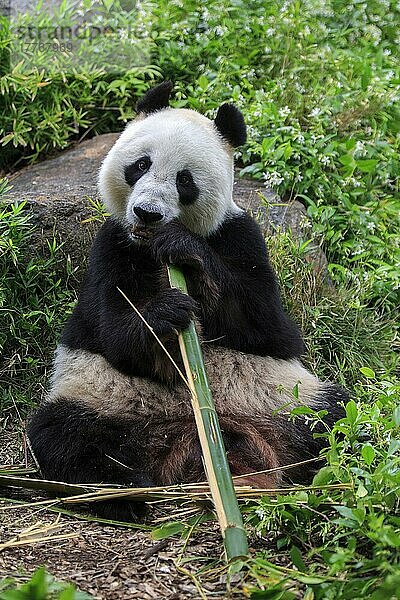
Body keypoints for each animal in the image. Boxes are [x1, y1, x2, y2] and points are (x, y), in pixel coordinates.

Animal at [28, 82, 346, 516]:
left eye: (185, 180)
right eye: (140, 165)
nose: (147, 213)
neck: (149, 246)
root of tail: (193, 442)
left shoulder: (242, 236)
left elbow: (267, 327)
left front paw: (185, 252)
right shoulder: (111, 246)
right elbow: (114, 333)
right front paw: (166, 314)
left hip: (284, 398)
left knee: (337, 418)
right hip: (102, 399)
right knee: (63, 435)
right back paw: (127, 493)